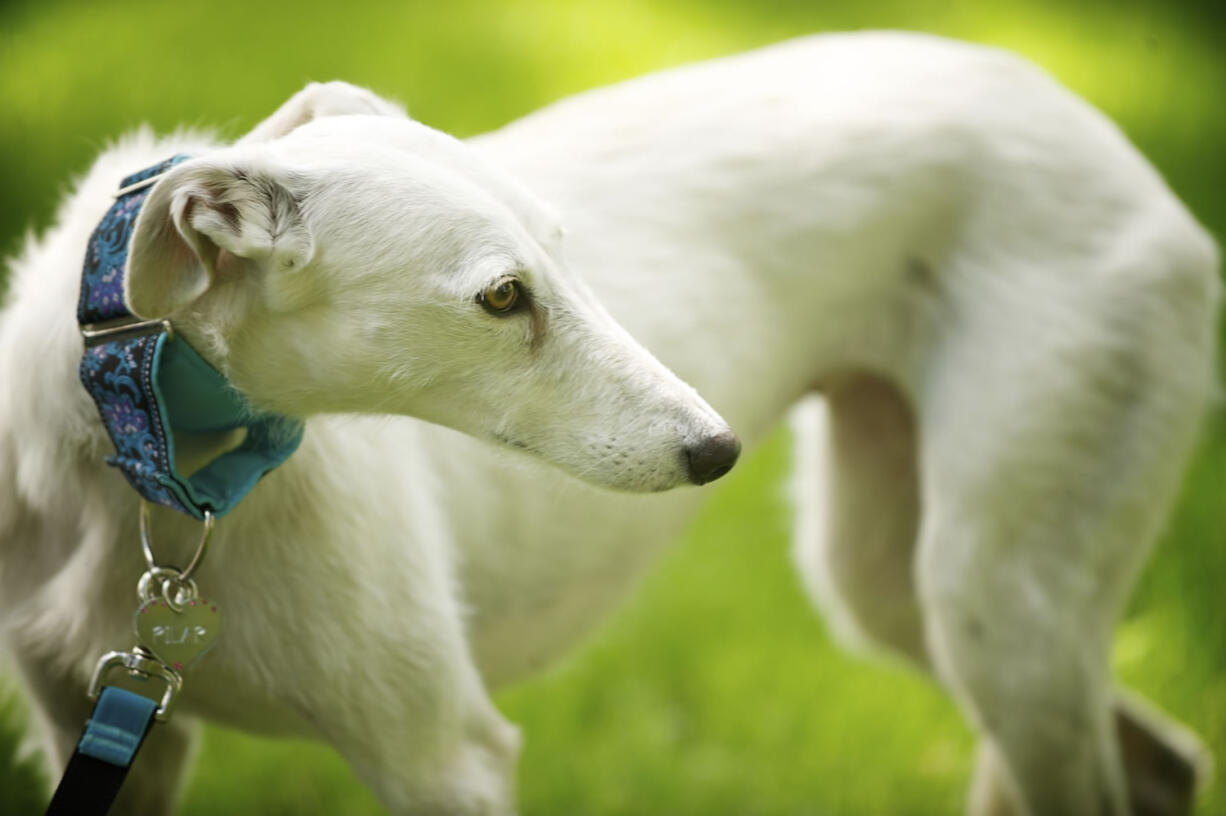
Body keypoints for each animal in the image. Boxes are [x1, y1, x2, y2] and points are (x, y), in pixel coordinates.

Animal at [0, 30, 1216, 813]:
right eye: (502, 295)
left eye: (564, 250)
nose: (718, 450)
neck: (147, 462)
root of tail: (1078, 110)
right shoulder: (97, 724)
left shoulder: (446, 755)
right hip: (899, 584)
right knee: (1158, 764)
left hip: (997, 603)